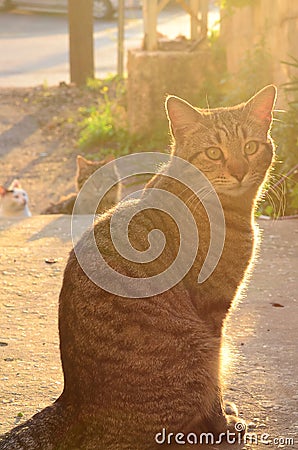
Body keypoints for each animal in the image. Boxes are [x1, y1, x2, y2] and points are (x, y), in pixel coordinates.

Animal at [0, 86, 276, 448]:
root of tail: (72, 403)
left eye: (250, 147)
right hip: (195, 348)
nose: (240, 170)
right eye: (214, 153)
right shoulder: (212, 312)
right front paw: (223, 422)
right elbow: (215, 380)